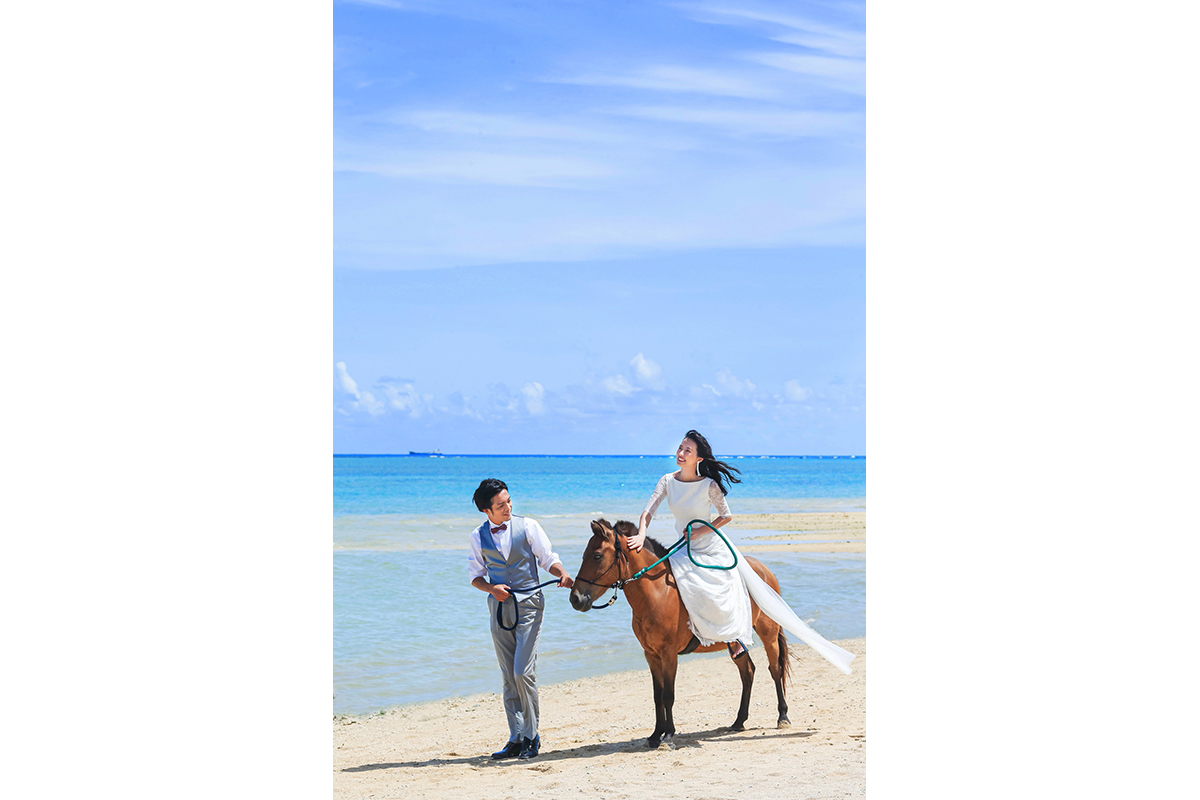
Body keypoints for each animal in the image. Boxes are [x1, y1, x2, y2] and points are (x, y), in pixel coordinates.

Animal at [569, 518, 792, 748]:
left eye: (597, 555)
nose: (575, 598)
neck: (658, 592)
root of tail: (763, 570)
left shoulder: (668, 654)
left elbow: (668, 695)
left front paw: (668, 736)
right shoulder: (651, 655)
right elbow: (657, 695)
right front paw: (655, 734)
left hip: (768, 634)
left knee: (775, 669)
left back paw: (782, 716)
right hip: (735, 642)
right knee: (747, 672)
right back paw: (739, 721)